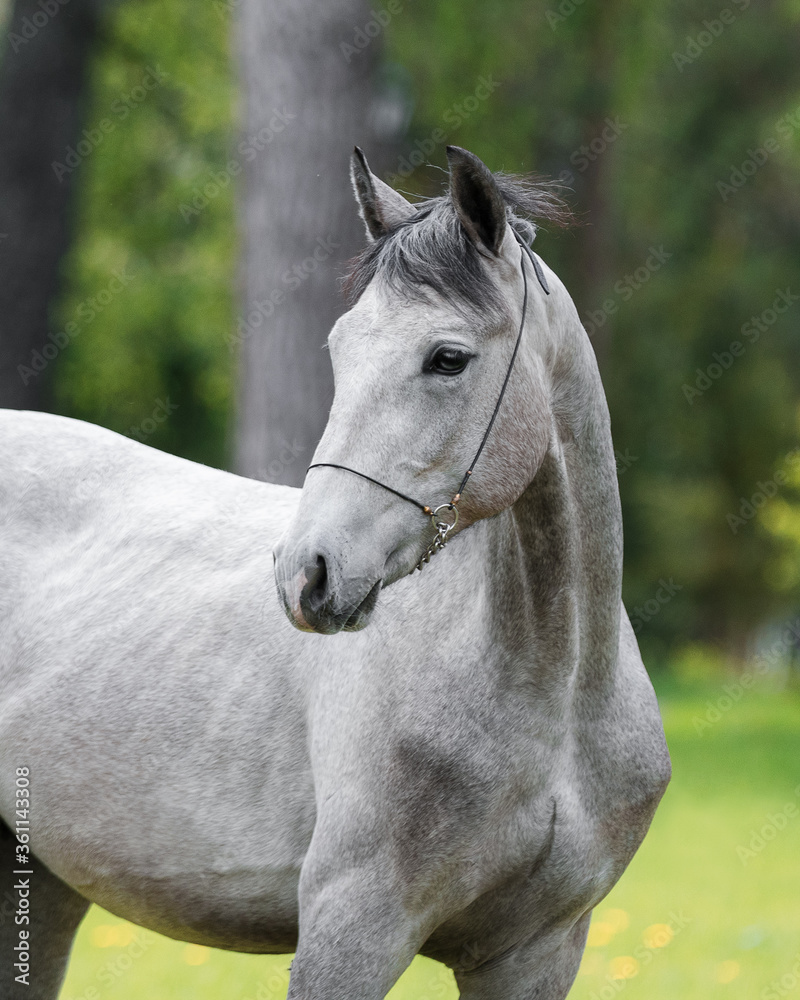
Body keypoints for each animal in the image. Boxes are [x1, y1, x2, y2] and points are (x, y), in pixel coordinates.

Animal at [0, 145, 670, 1000]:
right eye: (340, 349)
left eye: (447, 358)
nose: (306, 575)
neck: (552, 699)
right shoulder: (351, 932)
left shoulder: (536, 953)